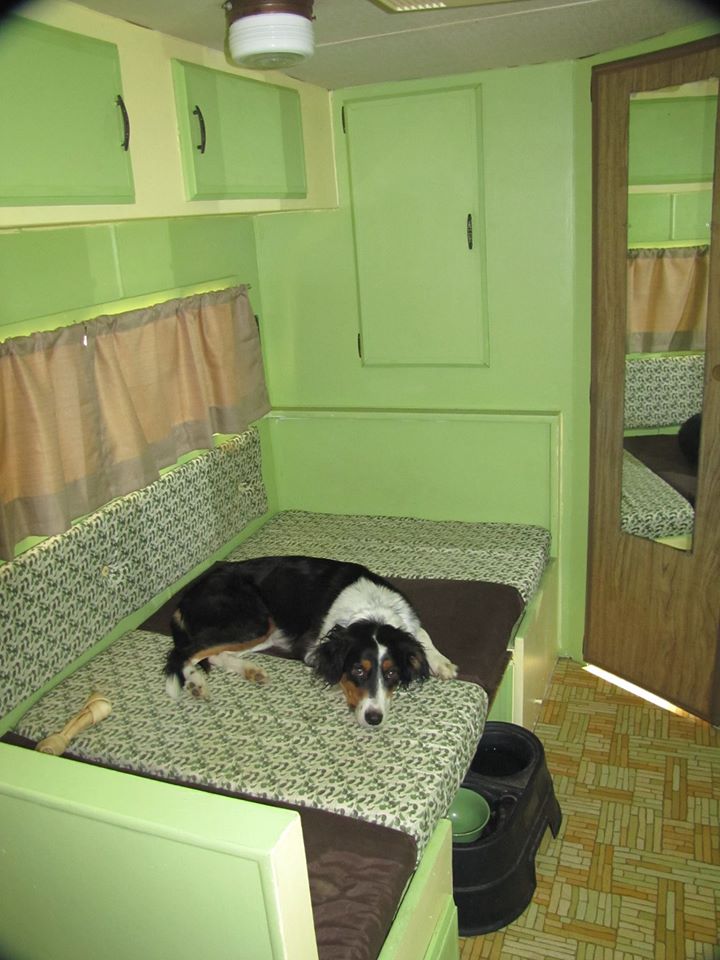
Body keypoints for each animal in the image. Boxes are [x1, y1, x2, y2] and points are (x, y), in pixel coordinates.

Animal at [164, 555, 458, 727]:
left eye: (392, 673)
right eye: (357, 670)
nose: (374, 719)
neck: (371, 610)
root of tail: (186, 596)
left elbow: (420, 634)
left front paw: (440, 661)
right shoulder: (314, 649)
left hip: (266, 630)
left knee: (211, 653)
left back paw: (251, 670)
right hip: (254, 621)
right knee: (185, 652)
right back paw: (196, 683)